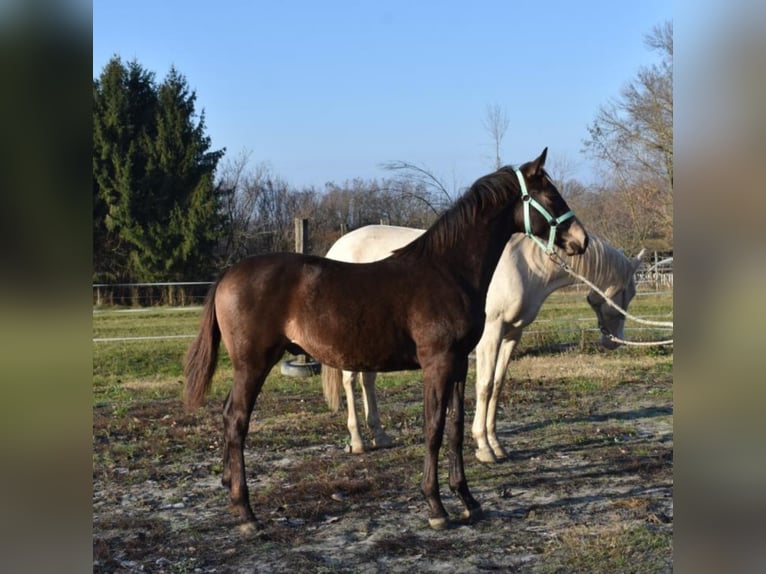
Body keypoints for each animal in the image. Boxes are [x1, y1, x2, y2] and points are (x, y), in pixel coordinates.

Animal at [183, 148, 588, 530]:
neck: (448, 271)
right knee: (237, 420)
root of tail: (228, 274)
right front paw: (436, 507)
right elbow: (433, 428)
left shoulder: (458, 364)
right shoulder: (437, 363)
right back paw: (246, 513)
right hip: (253, 364)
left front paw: (468, 500)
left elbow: (455, 428)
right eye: (550, 195)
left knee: (227, 416)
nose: (580, 241)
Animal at [322, 227, 644, 462]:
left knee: (368, 380)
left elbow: (498, 386)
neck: (526, 265)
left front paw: (496, 444)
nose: (612, 341)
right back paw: (358, 441)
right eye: (625, 293)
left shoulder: (512, 334)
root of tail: (336, 248)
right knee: (350, 380)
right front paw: (484, 447)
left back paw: (379, 435)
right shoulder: (491, 332)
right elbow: (485, 386)